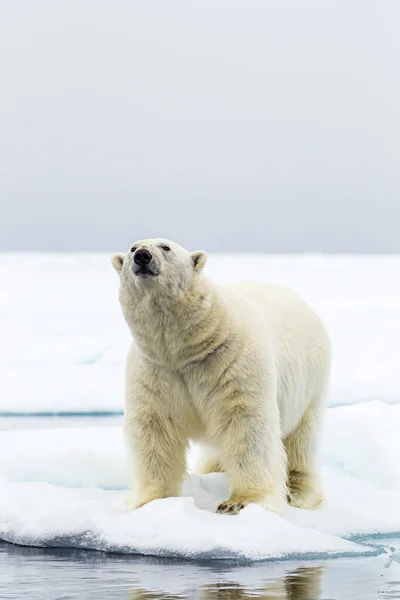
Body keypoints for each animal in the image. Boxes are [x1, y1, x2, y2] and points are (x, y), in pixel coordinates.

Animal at [112, 239, 332, 516]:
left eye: (165, 247)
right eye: (132, 248)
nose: (142, 256)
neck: (185, 349)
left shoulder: (233, 362)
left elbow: (246, 423)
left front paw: (239, 501)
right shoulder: (156, 371)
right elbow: (154, 427)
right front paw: (148, 501)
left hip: (311, 382)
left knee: (302, 440)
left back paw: (300, 493)